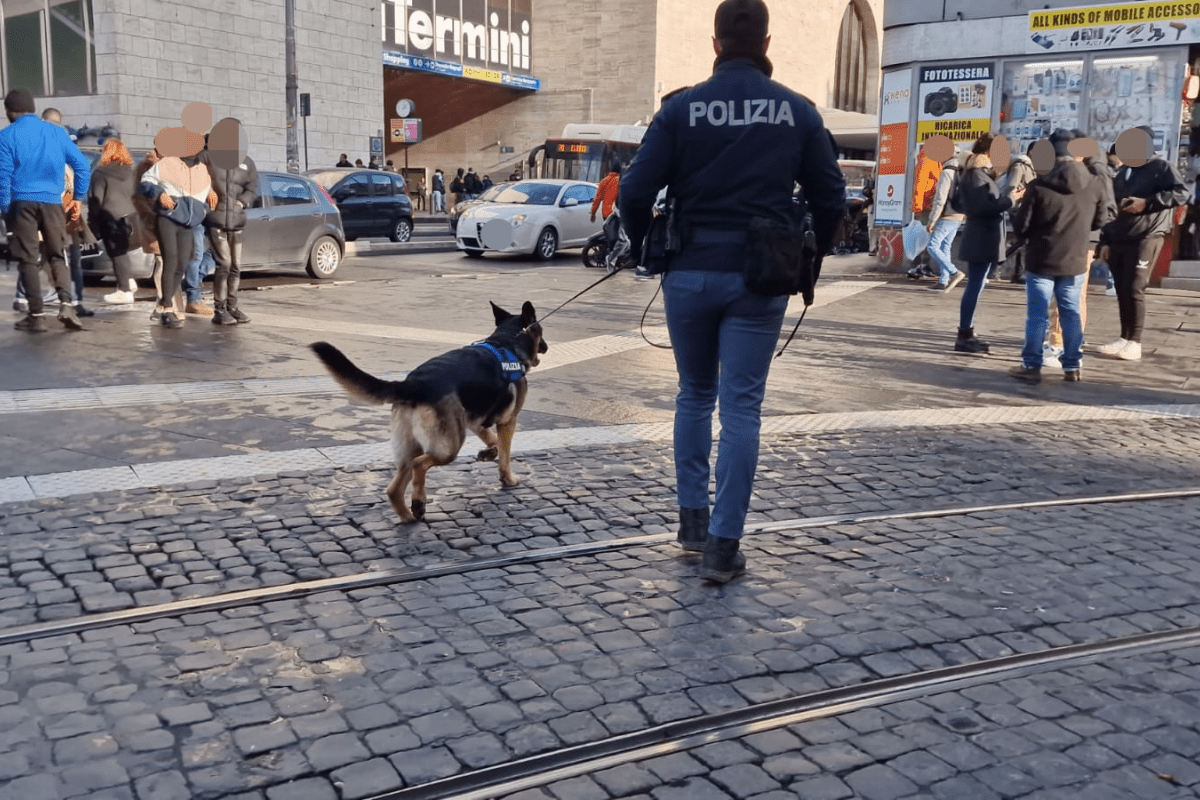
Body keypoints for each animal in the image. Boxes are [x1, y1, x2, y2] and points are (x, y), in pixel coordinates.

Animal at [312, 303, 549, 522]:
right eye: (541, 332)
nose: (546, 348)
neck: (507, 341)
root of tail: (413, 384)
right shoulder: (508, 422)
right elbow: (505, 454)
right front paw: (508, 479)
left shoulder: (474, 421)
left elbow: (494, 442)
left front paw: (488, 453)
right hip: (450, 446)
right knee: (419, 465)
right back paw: (418, 502)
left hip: (413, 447)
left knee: (394, 489)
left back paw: (409, 517)